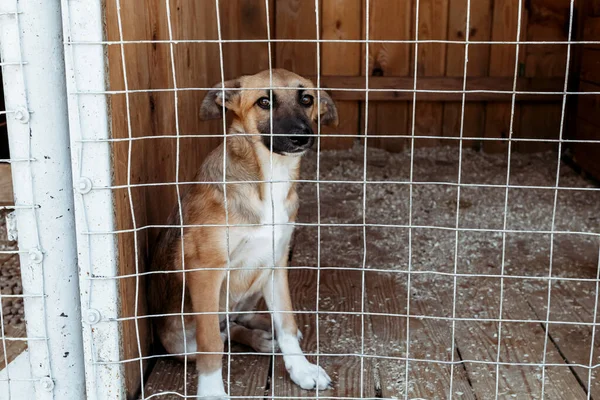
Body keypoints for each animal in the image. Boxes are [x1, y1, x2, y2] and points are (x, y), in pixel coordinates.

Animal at [147, 68, 338, 396]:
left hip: (255, 280)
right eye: (264, 102)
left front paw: (301, 368)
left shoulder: (276, 262)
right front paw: (212, 392)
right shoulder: (205, 270)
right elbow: (211, 343)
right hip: (179, 341)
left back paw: (262, 333)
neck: (269, 178)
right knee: (221, 334)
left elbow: (286, 322)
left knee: (237, 320)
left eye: (307, 99)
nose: (302, 136)